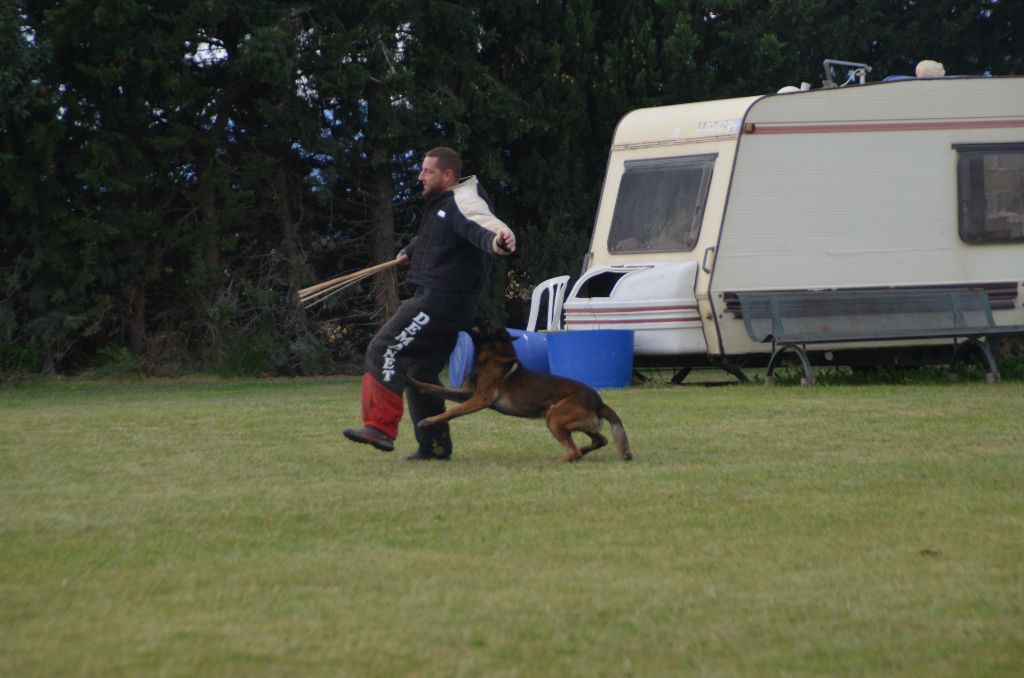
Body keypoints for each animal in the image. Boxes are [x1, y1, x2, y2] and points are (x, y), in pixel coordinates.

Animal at [407, 323, 630, 462]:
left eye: (484, 324)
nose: (469, 317)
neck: (492, 357)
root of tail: (599, 401)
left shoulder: (479, 399)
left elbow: (452, 412)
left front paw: (427, 421)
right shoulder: (464, 394)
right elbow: (434, 388)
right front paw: (411, 381)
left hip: (554, 418)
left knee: (574, 451)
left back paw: (557, 461)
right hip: (575, 422)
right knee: (600, 440)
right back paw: (583, 450)